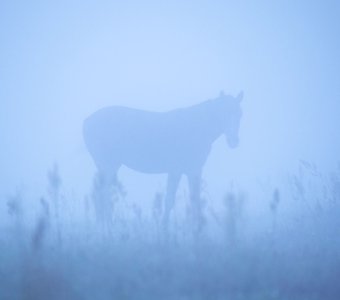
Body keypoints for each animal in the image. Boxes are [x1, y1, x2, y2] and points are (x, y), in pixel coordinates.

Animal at [83, 91, 243, 230]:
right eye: (223, 113)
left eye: (240, 114)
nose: (234, 141)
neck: (197, 128)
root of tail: (87, 121)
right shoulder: (181, 171)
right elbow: (174, 200)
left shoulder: (190, 171)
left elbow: (190, 200)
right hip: (108, 166)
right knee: (102, 196)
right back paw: (106, 226)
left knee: (101, 196)